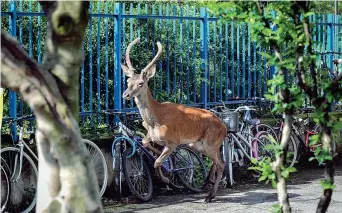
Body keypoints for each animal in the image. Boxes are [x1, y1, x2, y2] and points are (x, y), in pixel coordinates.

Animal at [121, 37, 227, 202]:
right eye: (127, 82)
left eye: (140, 83)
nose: (125, 94)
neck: (156, 120)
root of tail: (225, 127)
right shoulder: (151, 137)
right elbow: (146, 145)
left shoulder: (173, 141)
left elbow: (157, 162)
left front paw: (166, 180)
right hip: (199, 145)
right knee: (218, 161)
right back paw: (207, 185)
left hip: (211, 143)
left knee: (221, 163)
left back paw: (210, 195)